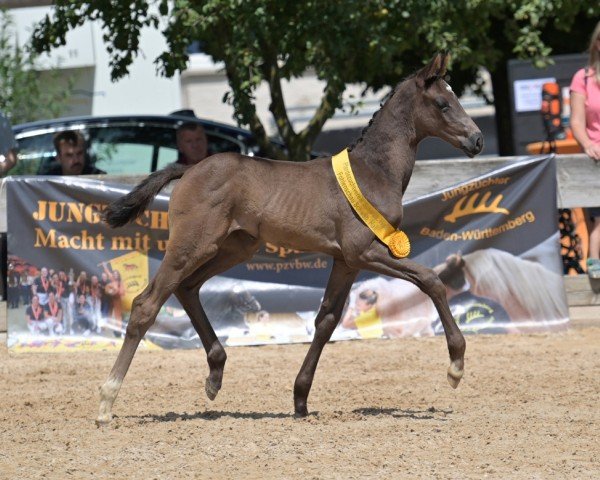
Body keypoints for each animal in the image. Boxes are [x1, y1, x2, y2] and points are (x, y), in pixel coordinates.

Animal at [97, 52, 482, 424]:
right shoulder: (365, 251)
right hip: (192, 244)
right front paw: (456, 366)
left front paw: (300, 398)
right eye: (443, 103)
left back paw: (215, 374)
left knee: (188, 288)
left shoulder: (346, 260)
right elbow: (430, 280)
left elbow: (327, 319)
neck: (372, 171)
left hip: (235, 247)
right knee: (146, 304)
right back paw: (106, 402)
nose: (477, 139)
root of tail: (189, 169)